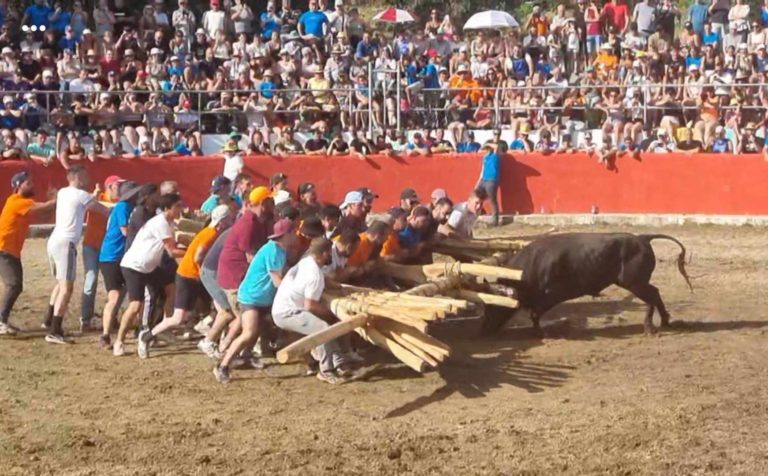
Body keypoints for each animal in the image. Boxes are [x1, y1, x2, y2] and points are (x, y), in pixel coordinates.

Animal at [486, 232, 696, 332]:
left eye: (494, 306)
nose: (484, 331)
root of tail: (642, 238)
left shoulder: (550, 295)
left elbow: (535, 313)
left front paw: (541, 333)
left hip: (635, 283)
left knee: (652, 296)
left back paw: (650, 327)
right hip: (638, 283)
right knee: (656, 293)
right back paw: (665, 322)